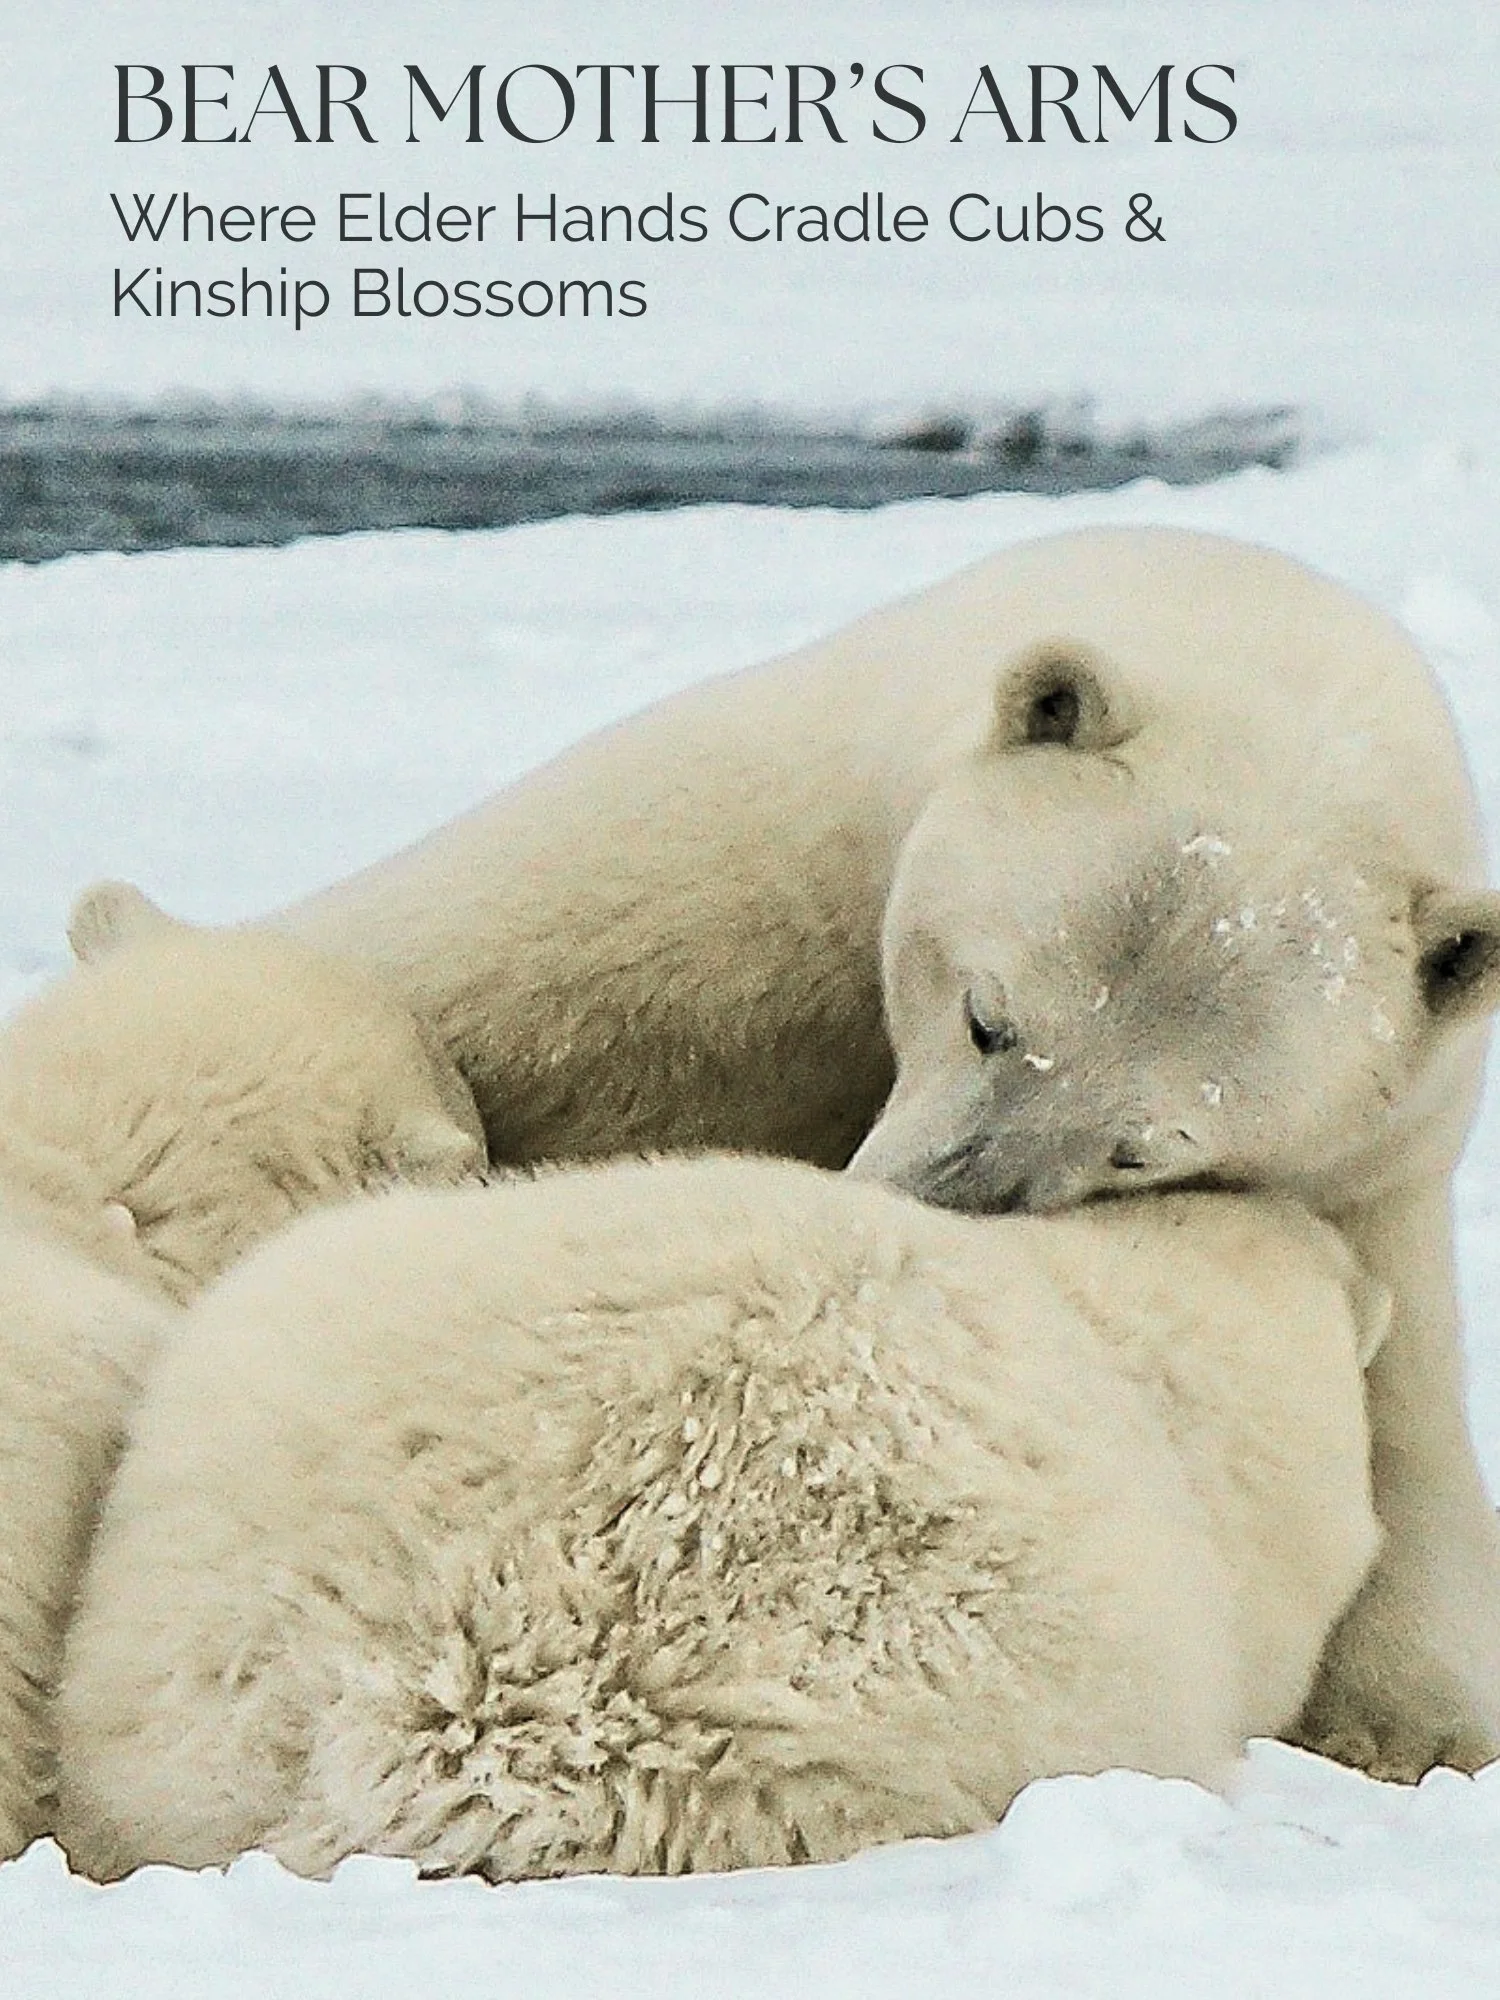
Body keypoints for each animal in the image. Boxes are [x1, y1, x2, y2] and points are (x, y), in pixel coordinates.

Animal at [270, 526, 1500, 1783]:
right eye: (987, 1014)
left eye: (1142, 1147)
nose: (939, 1205)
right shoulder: (746, 885)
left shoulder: (1374, 1156)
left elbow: (1392, 1425)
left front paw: (1402, 1726)